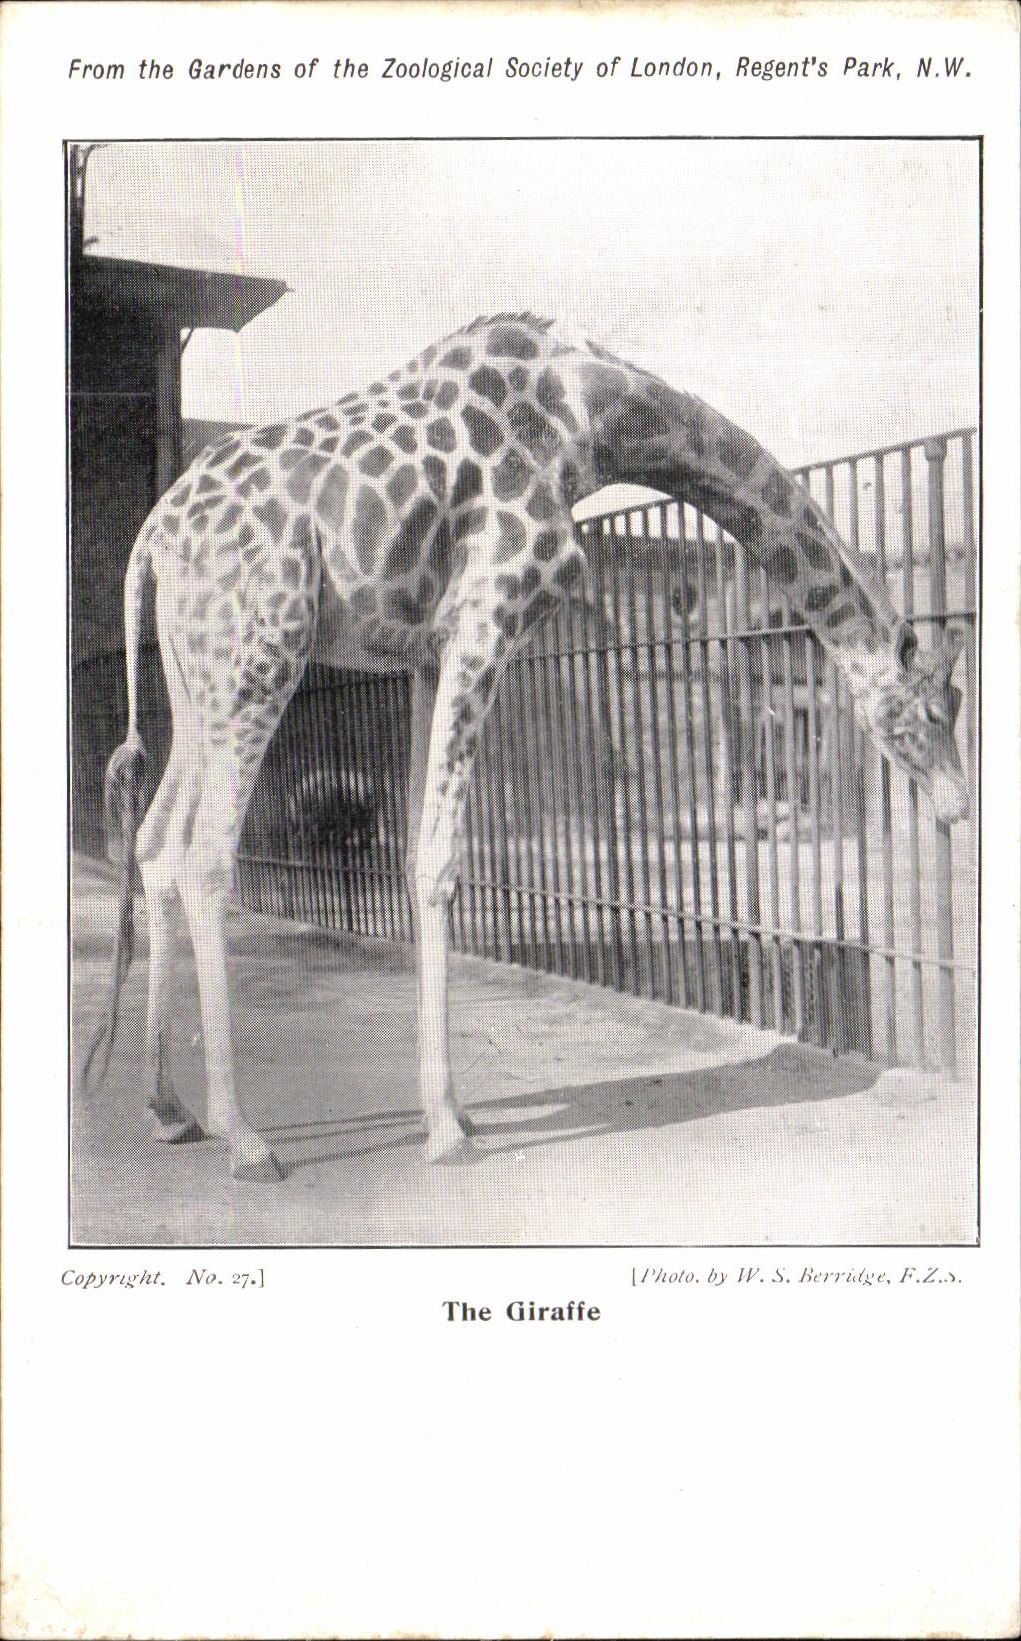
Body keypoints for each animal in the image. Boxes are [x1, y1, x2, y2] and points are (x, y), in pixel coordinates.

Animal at [80, 314, 968, 1179]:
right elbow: (439, 861)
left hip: (199, 673)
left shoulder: (427, 650)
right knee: (203, 857)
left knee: (155, 842)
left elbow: (417, 849)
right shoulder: (487, 616)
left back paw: (167, 1108)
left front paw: (451, 1109)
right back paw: (244, 1137)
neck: (589, 421)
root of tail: (152, 536)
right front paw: (446, 1130)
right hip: (263, 652)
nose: (957, 804)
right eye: (931, 711)